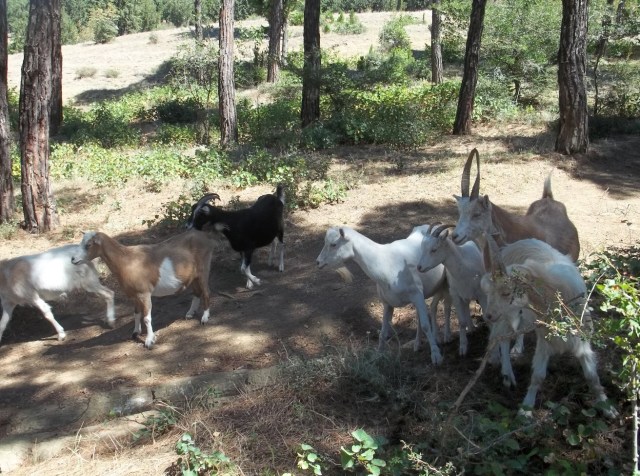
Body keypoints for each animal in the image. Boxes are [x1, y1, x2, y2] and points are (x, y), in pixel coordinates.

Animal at [71, 229, 214, 349]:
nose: (73, 259)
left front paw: (149, 340)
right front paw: (135, 333)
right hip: (193, 276)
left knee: (206, 292)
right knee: (197, 292)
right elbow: (136, 313)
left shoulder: (144, 293)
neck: (126, 260)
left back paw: (204, 318)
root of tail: (203, 236)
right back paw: (190, 313)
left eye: (88, 245)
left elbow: (146, 318)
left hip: (203, 269)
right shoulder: (134, 295)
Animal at [316, 225, 451, 365]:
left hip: (446, 281)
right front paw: (378, 356)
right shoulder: (387, 303)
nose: (318, 262)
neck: (385, 264)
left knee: (446, 305)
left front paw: (436, 355)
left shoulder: (416, 294)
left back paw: (444, 337)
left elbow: (425, 325)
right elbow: (383, 332)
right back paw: (418, 344)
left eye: (333, 244)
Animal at [481, 235, 617, 418]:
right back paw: (507, 374)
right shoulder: (544, 340)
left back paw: (516, 349)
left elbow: (592, 376)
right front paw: (526, 409)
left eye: (506, 292)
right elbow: (538, 376)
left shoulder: (581, 339)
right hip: (509, 315)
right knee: (501, 337)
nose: (488, 315)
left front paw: (607, 407)